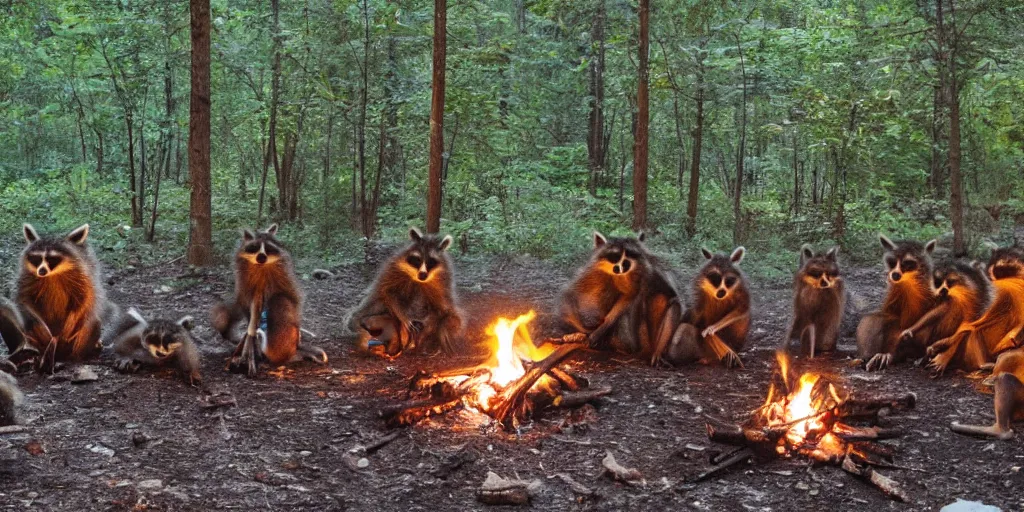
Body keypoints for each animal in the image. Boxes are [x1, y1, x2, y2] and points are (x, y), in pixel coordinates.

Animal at [0, 224, 117, 372]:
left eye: (51, 259)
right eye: (37, 258)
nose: (41, 271)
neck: (53, 273)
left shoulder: (81, 276)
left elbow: (83, 298)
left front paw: (71, 323)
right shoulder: (26, 277)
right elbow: (24, 300)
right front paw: (39, 325)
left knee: (92, 322)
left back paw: (77, 356)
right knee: (19, 318)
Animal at [211, 224, 327, 376]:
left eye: (268, 248)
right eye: (254, 247)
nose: (261, 257)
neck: (260, 266)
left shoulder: (283, 276)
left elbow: (294, 297)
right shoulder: (244, 280)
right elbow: (244, 304)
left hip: (287, 334)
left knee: (280, 302)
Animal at [350, 228, 466, 356]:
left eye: (431, 262)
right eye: (417, 260)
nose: (422, 275)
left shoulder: (443, 282)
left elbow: (443, 310)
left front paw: (441, 330)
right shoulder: (394, 270)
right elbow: (389, 292)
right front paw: (405, 318)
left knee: (450, 318)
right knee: (378, 305)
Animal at [561, 232, 679, 364]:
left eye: (628, 257)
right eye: (615, 257)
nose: (622, 267)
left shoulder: (648, 276)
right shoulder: (589, 273)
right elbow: (569, 295)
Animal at [856, 234, 937, 370]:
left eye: (907, 263)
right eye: (892, 263)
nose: (894, 274)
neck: (909, 280)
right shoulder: (894, 294)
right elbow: (889, 317)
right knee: (876, 318)